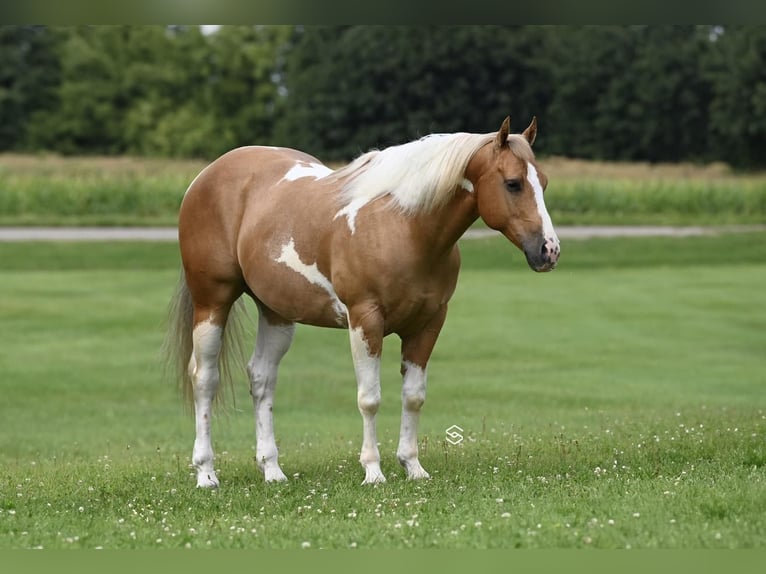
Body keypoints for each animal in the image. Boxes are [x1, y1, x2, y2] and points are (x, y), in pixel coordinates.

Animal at [165, 117, 560, 490]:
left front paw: (413, 467)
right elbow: (369, 398)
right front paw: (373, 471)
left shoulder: (428, 324)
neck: (402, 226)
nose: (549, 250)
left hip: (276, 313)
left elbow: (413, 396)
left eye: (543, 181)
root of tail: (206, 176)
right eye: (513, 183)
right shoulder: (365, 321)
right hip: (212, 301)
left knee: (262, 378)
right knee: (205, 379)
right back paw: (206, 473)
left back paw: (272, 469)